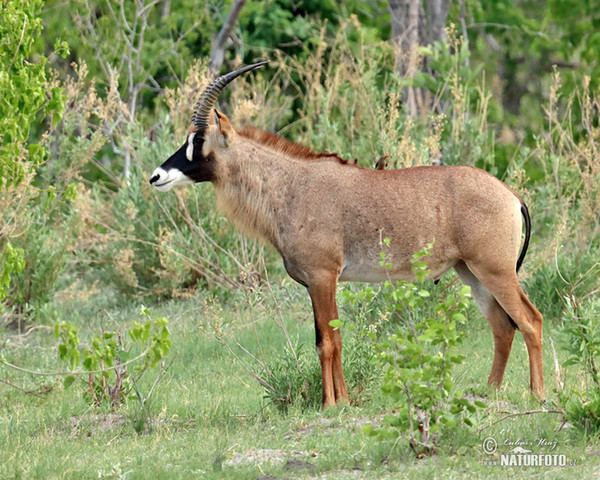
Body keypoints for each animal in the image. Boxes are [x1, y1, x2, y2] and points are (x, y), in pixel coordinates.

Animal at [150, 62, 544, 408]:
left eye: (199, 139)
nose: (156, 176)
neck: (290, 185)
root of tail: (511, 195)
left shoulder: (323, 276)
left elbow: (328, 342)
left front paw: (331, 405)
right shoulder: (316, 282)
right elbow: (329, 338)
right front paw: (343, 401)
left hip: (495, 270)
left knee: (530, 320)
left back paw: (538, 395)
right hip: (471, 273)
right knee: (502, 327)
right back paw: (491, 391)